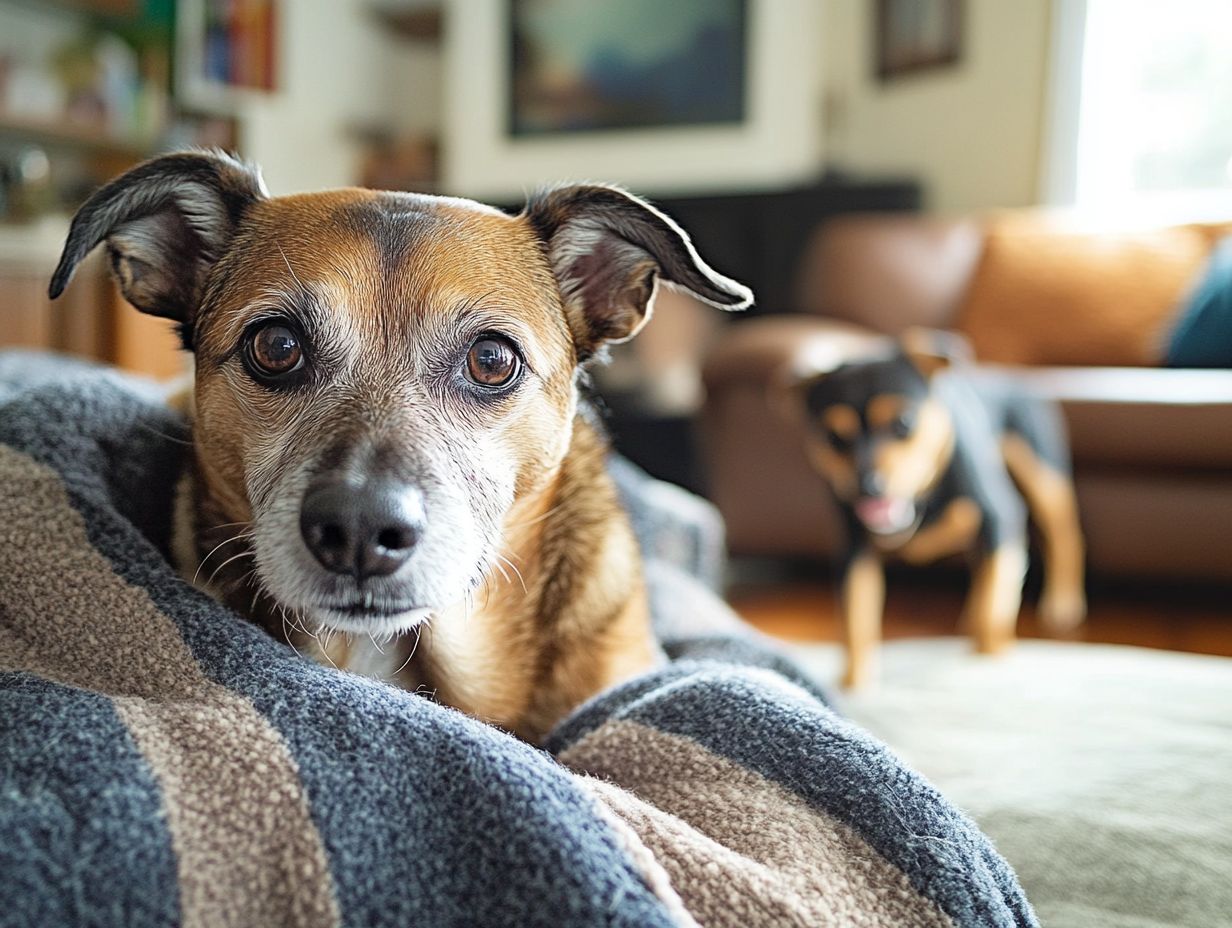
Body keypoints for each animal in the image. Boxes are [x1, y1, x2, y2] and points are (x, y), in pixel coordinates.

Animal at [783, 330, 1084, 685]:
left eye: (903, 423)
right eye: (832, 437)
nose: (868, 488)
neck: (919, 498)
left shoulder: (999, 518)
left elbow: (993, 608)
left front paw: (989, 659)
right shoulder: (854, 550)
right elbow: (856, 616)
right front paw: (854, 683)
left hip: (1044, 475)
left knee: (1063, 537)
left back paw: (1062, 603)